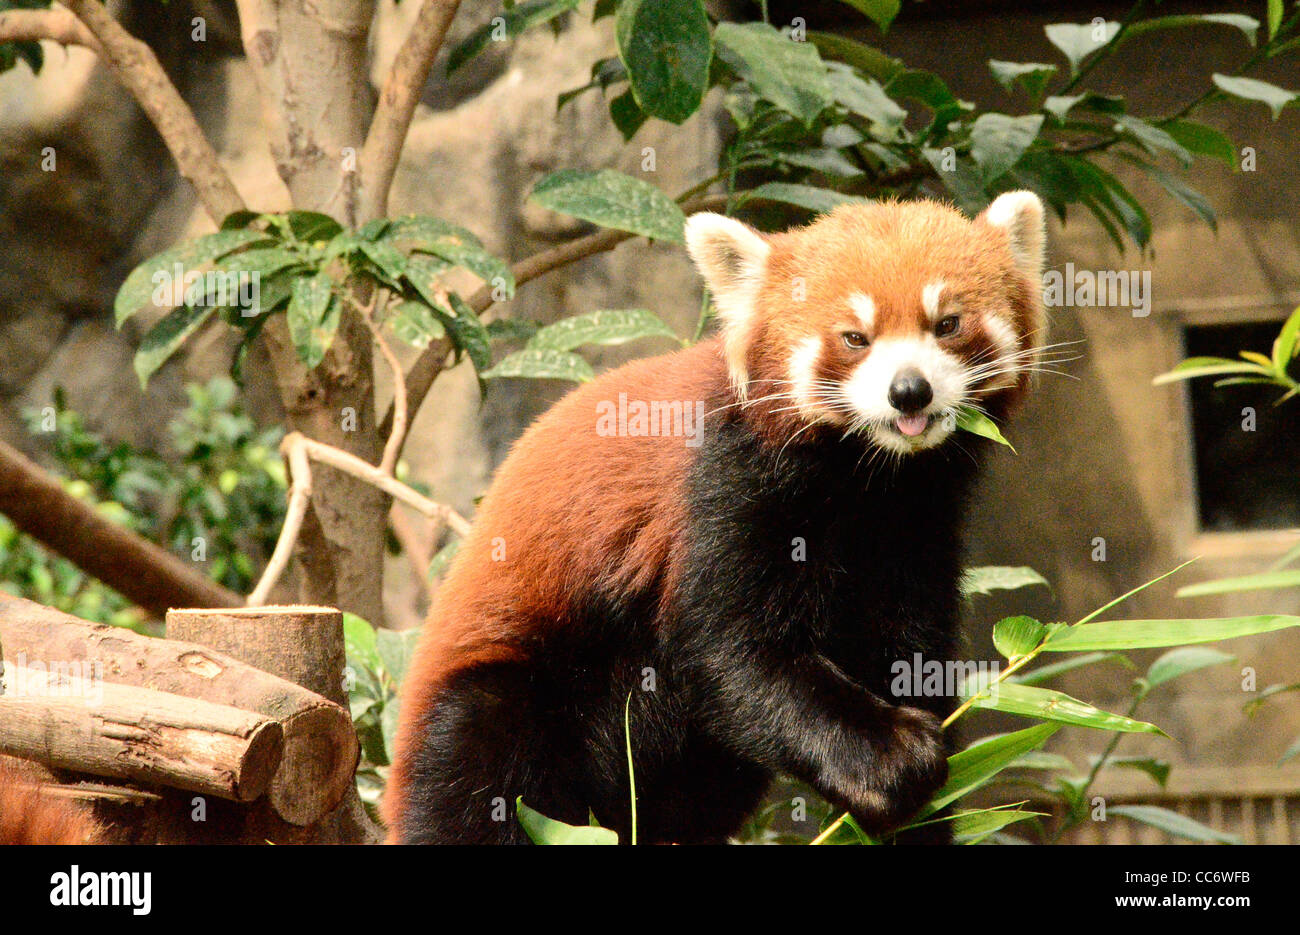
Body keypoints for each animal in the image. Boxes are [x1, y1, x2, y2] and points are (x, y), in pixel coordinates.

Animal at [382, 192, 1045, 847]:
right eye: (855, 337)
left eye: (947, 323)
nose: (910, 391)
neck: (869, 476)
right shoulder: (725, 486)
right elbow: (725, 651)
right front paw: (887, 756)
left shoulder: (917, 524)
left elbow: (906, 652)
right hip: (509, 689)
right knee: (475, 764)